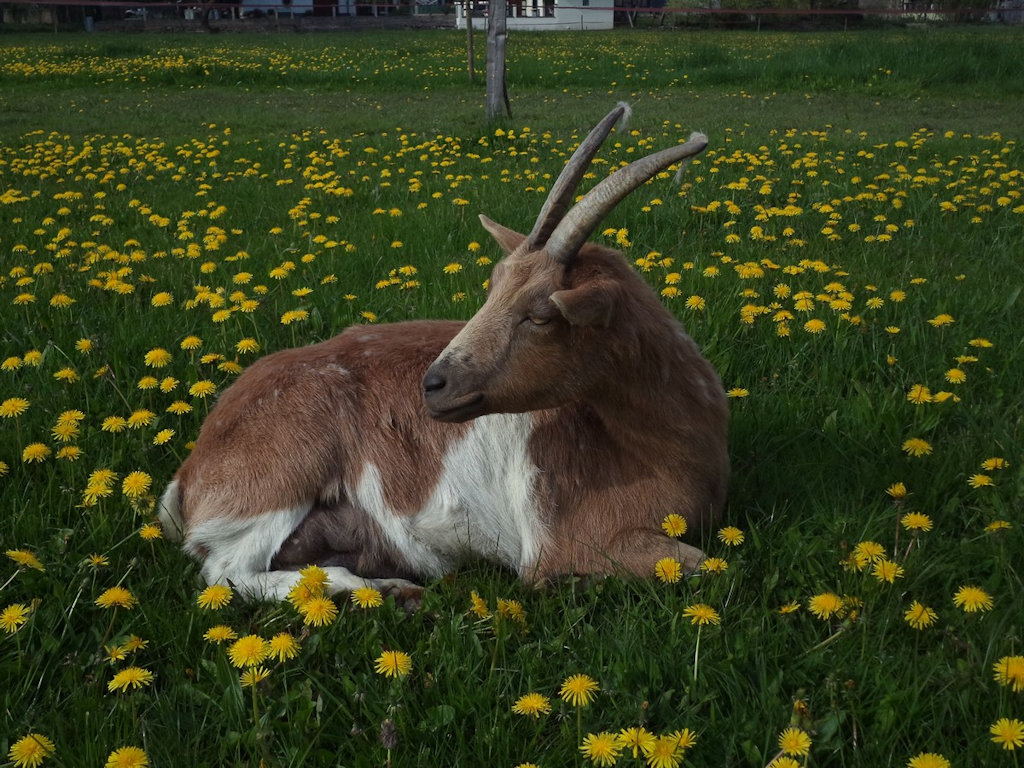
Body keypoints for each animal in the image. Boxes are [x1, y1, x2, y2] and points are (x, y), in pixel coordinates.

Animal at [158, 104, 729, 605]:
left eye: (542, 315)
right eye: (493, 286)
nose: (434, 385)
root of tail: (192, 473)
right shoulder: (572, 539)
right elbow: (705, 565)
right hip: (282, 478)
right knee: (227, 573)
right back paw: (393, 592)